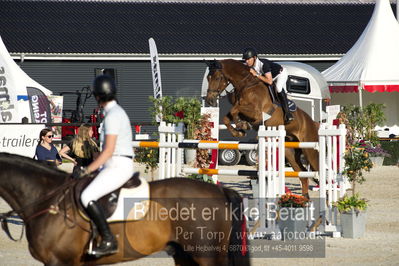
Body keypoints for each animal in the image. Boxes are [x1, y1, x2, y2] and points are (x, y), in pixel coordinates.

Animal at [205, 59, 320, 197]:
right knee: (302, 173)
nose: (210, 101)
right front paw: (239, 131)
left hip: (309, 149)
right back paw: (305, 198)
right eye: (208, 78)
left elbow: (235, 109)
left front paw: (241, 125)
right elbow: (227, 118)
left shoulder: (257, 113)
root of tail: (312, 122)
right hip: (290, 151)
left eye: (217, 77)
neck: (247, 85)